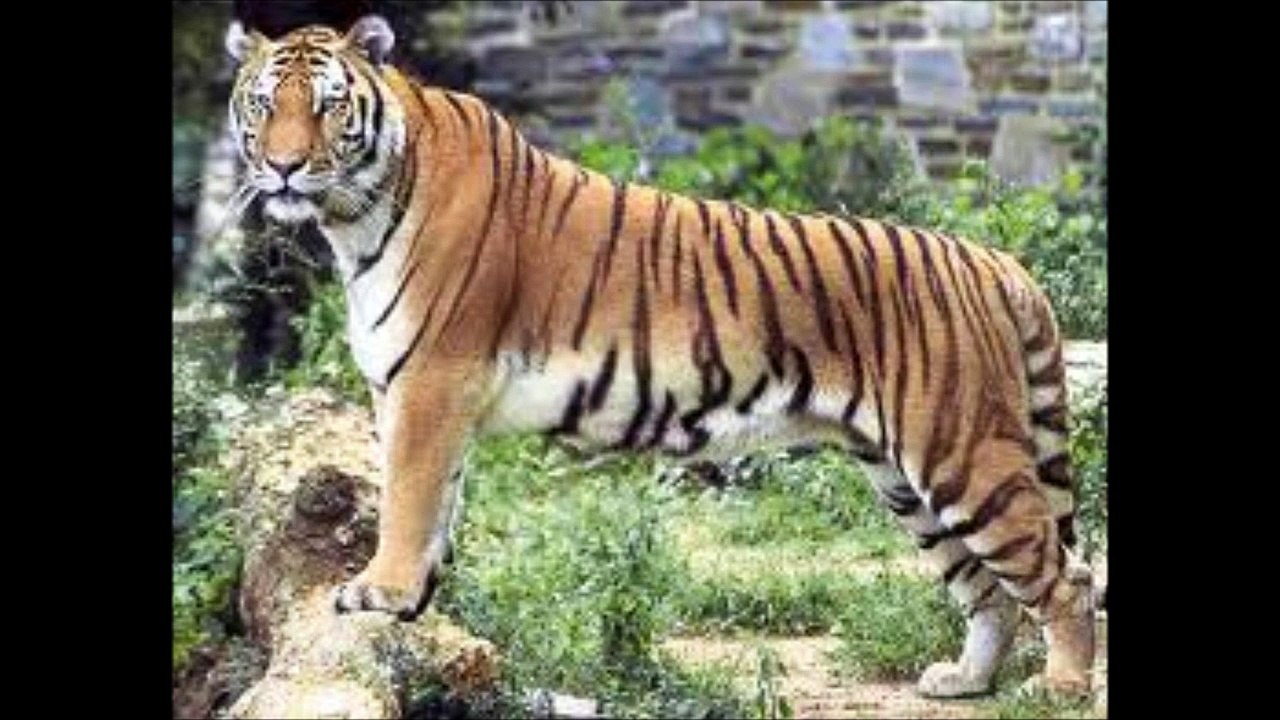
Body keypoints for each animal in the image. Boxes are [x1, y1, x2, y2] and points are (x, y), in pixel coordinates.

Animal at [223, 14, 1097, 698]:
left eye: (329, 106)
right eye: (265, 105)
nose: (284, 166)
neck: (355, 215)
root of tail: (996, 261)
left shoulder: (433, 383)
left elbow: (406, 499)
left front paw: (379, 591)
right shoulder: (425, 395)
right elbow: (437, 506)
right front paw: (414, 605)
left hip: (962, 453)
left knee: (1066, 575)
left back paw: (1058, 686)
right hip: (903, 476)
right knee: (987, 590)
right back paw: (965, 681)